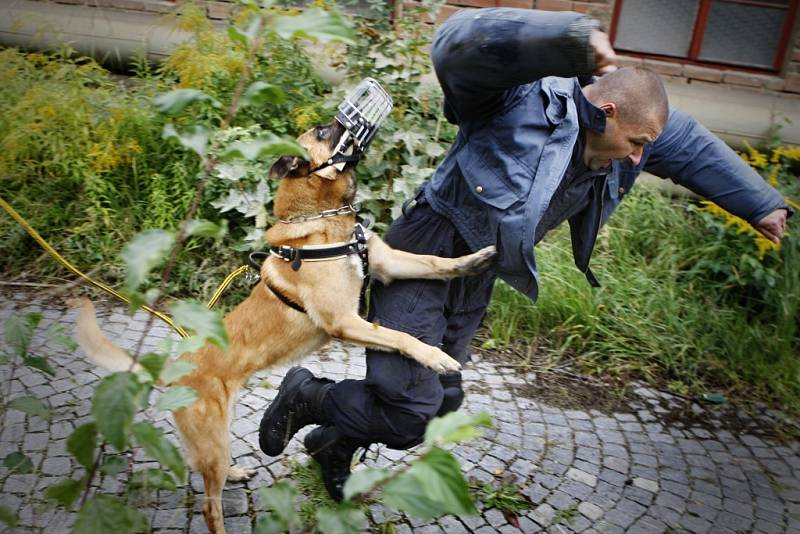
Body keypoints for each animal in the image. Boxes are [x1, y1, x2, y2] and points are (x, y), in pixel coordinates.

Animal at [75, 120, 496, 534]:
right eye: (325, 131)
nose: (348, 121)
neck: (322, 224)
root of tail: (175, 368)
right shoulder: (345, 322)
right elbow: (400, 336)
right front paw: (435, 357)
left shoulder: (388, 264)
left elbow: (434, 263)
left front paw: (474, 260)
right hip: (213, 440)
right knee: (210, 507)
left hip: (218, 436)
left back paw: (236, 472)